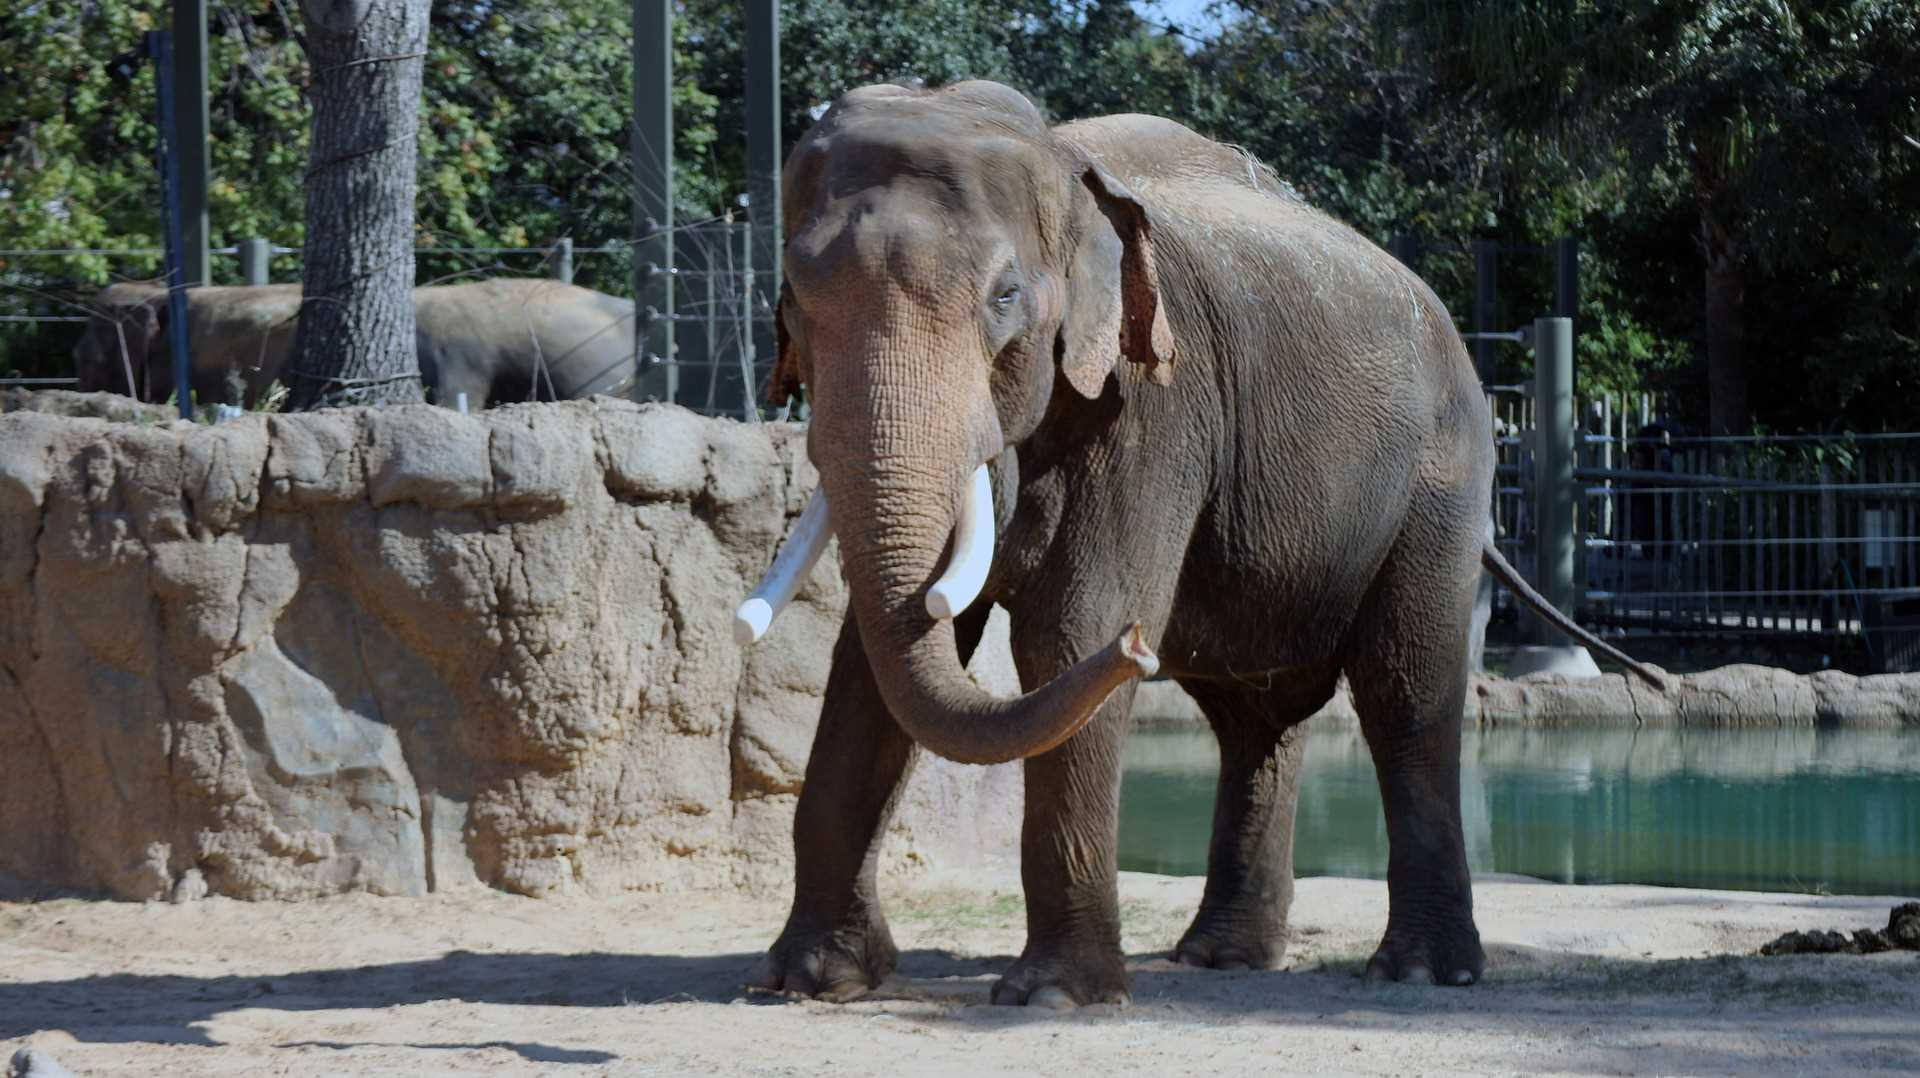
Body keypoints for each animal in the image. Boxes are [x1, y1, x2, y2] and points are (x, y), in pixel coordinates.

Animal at [733, 79, 1666, 1006]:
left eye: (1004, 298)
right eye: (791, 300)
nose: (1139, 648)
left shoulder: (1156, 406)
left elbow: (1067, 630)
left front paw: (1051, 997)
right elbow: (867, 660)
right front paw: (806, 980)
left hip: (1442, 479)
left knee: (1405, 691)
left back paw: (1422, 972)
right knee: (1257, 719)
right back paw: (1223, 958)